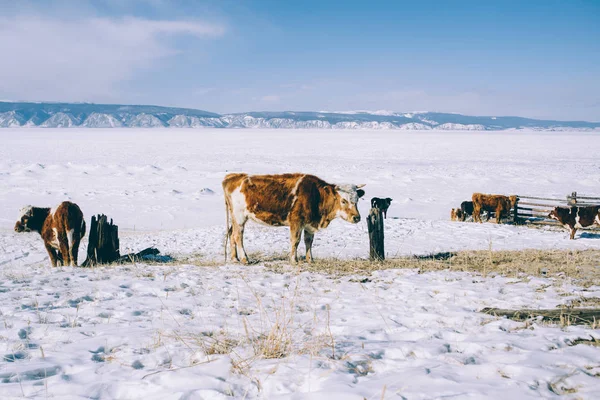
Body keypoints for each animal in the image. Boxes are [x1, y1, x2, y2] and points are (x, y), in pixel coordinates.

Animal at [224, 173, 366, 264]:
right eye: (343, 201)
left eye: (357, 200)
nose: (356, 217)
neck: (317, 196)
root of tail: (233, 177)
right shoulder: (296, 221)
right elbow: (295, 241)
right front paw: (294, 260)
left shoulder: (309, 224)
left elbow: (308, 242)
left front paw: (310, 260)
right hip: (240, 217)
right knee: (238, 236)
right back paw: (244, 259)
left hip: (234, 218)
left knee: (231, 234)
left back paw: (234, 258)